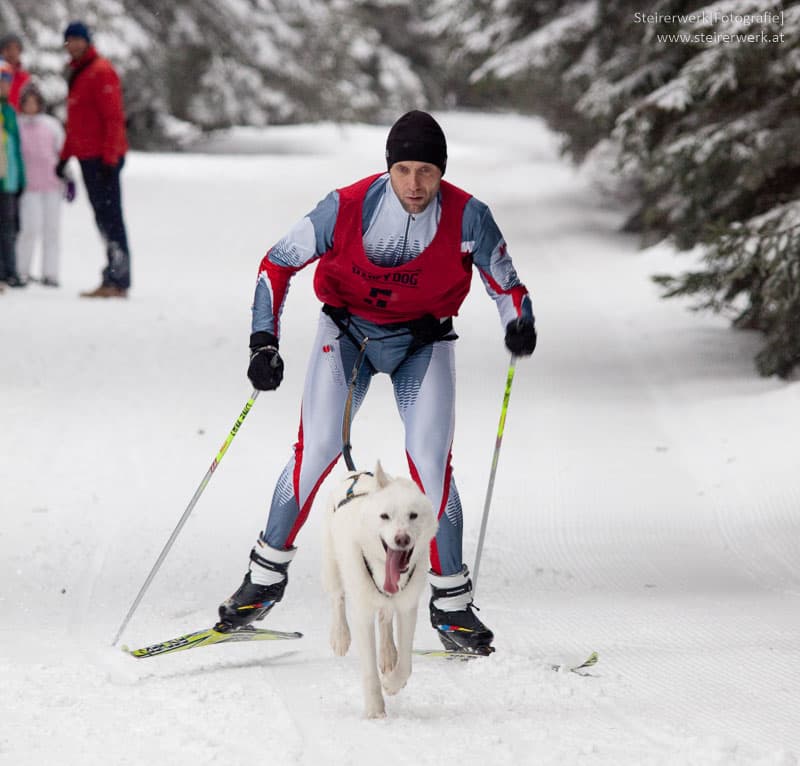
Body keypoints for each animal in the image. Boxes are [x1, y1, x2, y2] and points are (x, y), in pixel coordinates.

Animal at [322, 462, 440, 720]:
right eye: (385, 516)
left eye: (413, 515)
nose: (402, 538)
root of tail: (354, 472)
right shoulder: (362, 613)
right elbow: (368, 670)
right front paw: (375, 709)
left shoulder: (407, 608)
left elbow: (406, 664)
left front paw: (392, 684)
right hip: (332, 565)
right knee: (337, 598)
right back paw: (340, 636)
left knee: (386, 619)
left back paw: (388, 653)